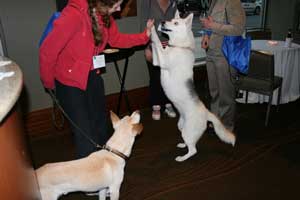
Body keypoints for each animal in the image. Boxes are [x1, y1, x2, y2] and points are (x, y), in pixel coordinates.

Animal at [151, 10, 236, 162]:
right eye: (171, 20)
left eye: (176, 23)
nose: (163, 22)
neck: (180, 46)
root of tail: (207, 113)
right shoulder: (158, 59)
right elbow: (156, 44)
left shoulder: (161, 60)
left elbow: (156, 40)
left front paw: (150, 28)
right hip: (182, 127)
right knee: (189, 143)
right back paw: (182, 145)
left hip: (188, 132)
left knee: (193, 150)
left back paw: (182, 158)